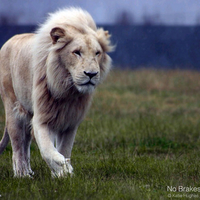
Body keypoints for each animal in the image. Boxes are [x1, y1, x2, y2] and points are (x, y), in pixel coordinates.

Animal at [0, 7, 113, 177]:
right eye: (77, 52)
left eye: (97, 53)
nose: (91, 74)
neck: (68, 90)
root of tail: (9, 40)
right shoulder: (42, 118)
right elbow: (47, 149)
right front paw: (62, 167)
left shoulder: (70, 122)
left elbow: (65, 149)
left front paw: (62, 174)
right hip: (13, 108)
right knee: (18, 145)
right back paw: (22, 174)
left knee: (25, 143)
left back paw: (29, 171)